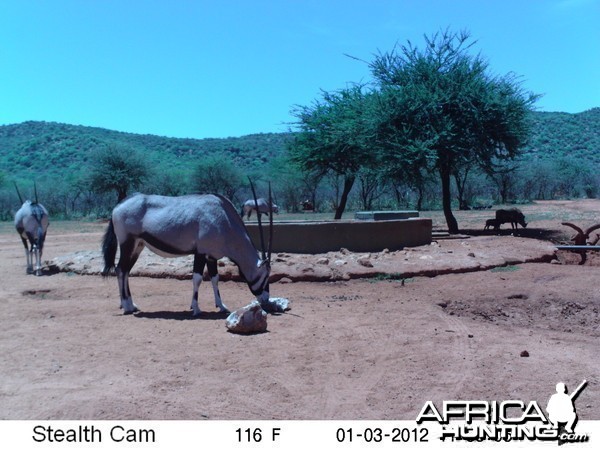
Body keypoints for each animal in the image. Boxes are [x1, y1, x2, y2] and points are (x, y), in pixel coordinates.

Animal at [102, 186, 274, 316]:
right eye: (265, 275)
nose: (266, 299)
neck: (223, 217)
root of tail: (118, 206)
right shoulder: (201, 253)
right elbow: (197, 278)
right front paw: (196, 308)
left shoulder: (212, 256)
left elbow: (215, 278)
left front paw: (221, 306)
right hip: (127, 243)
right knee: (120, 269)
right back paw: (127, 306)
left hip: (138, 246)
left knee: (125, 270)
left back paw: (132, 305)